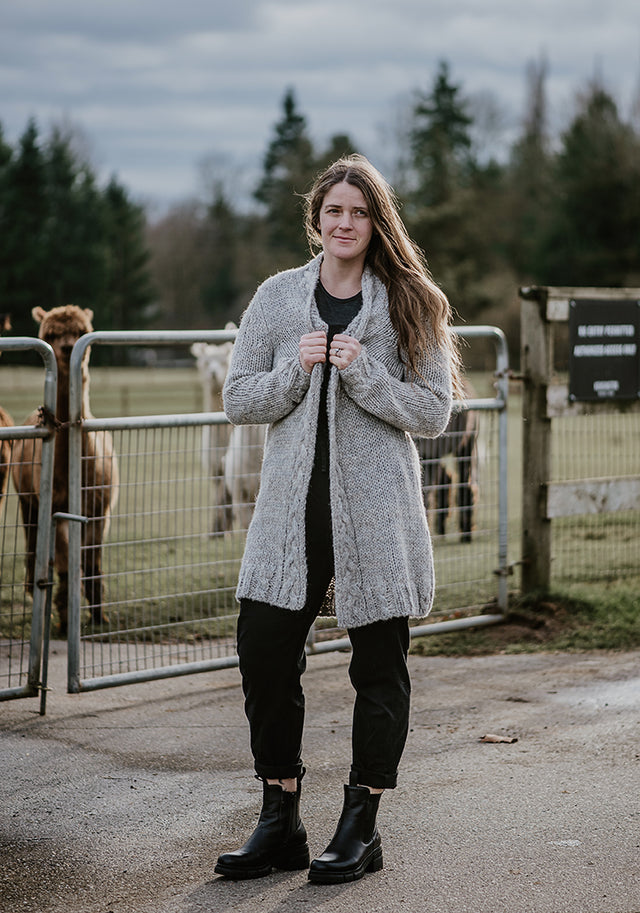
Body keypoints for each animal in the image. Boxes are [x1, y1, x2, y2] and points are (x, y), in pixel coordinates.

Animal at [11, 305, 119, 635]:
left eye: (82, 331)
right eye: (49, 334)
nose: (69, 348)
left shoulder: (98, 507)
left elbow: (92, 561)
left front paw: (99, 616)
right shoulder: (55, 508)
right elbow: (63, 562)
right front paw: (64, 613)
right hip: (28, 498)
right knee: (34, 540)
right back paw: (36, 592)